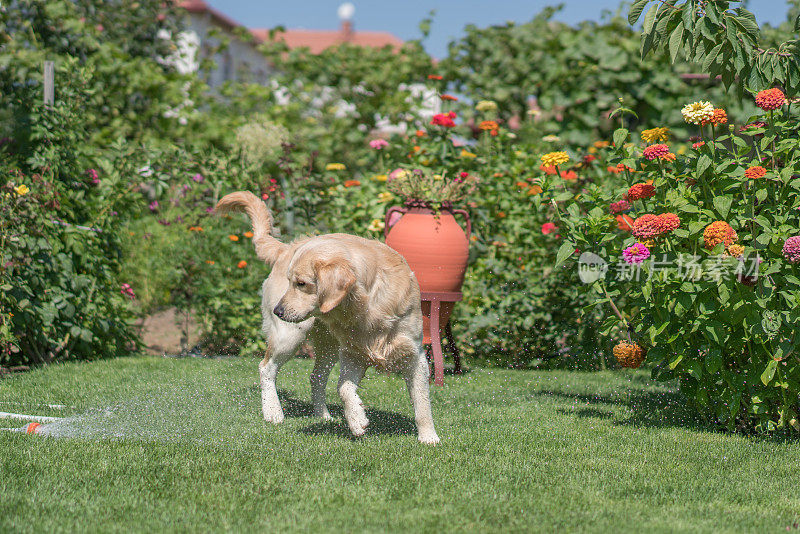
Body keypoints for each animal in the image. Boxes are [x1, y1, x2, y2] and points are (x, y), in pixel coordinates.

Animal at [216, 191, 440, 446]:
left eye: (301, 283)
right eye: (291, 282)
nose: (277, 311)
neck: (368, 303)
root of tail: (286, 248)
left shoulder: (414, 355)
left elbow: (422, 402)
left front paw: (429, 437)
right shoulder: (352, 353)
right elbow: (343, 388)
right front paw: (356, 419)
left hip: (328, 345)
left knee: (316, 377)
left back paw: (322, 415)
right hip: (289, 336)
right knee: (266, 368)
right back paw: (273, 412)